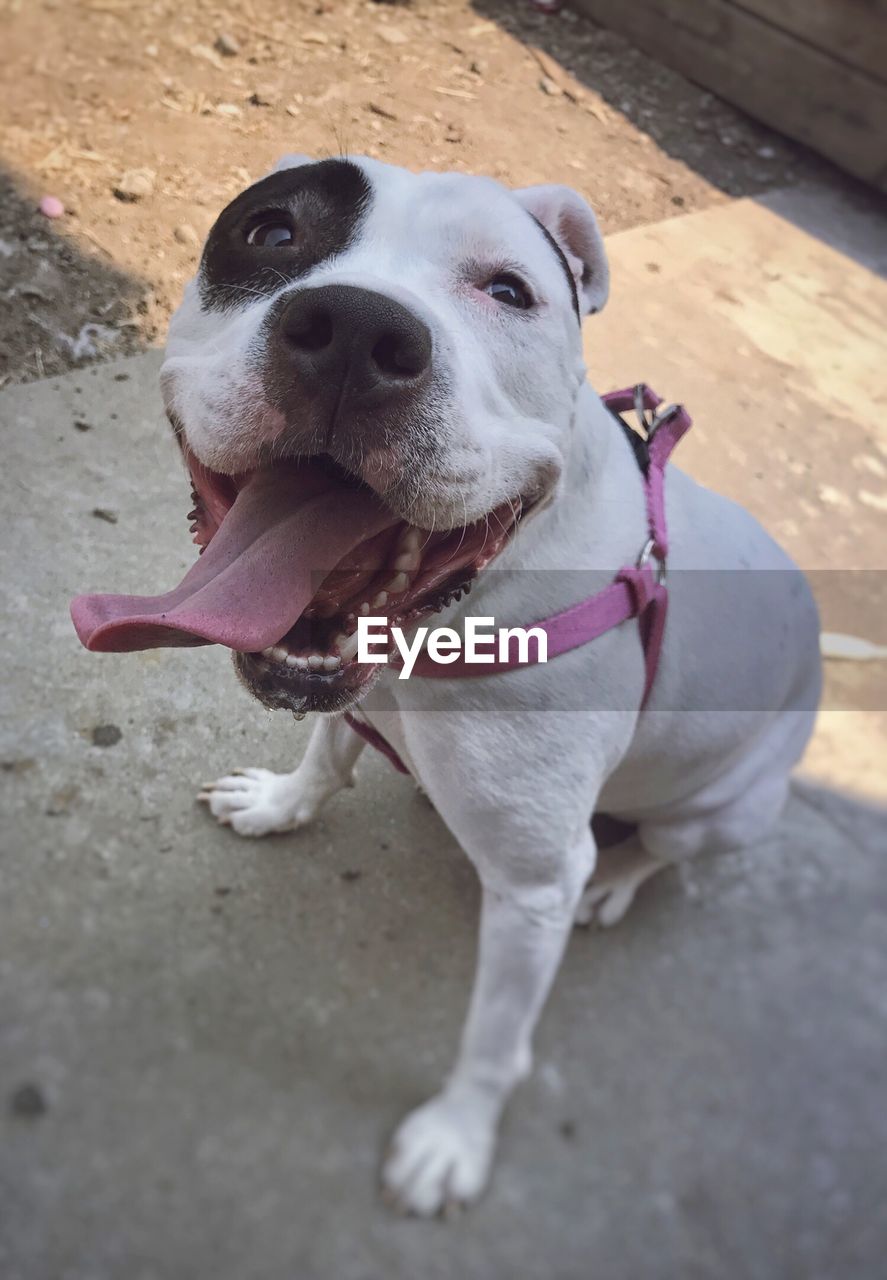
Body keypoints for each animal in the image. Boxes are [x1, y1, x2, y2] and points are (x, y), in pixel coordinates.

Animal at [71, 154, 824, 1213]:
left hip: (723, 813)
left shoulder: (532, 886)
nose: (354, 332)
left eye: (508, 291)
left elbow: (493, 1044)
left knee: (659, 850)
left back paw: (615, 884)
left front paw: (453, 1137)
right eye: (271, 233)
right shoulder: (346, 680)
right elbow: (327, 752)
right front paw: (280, 803)